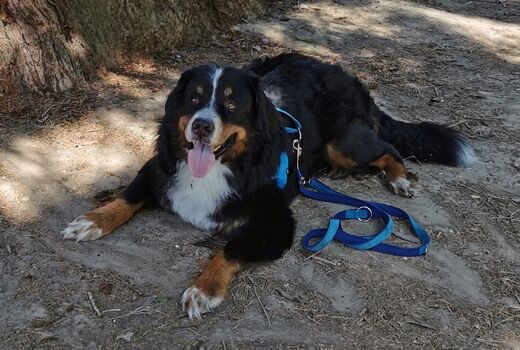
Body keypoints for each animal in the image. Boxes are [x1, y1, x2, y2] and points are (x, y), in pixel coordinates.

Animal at [62, 52, 476, 320]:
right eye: (195, 98)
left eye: (231, 105)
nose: (201, 125)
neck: (220, 168)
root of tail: (344, 74)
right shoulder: (160, 169)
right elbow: (128, 196)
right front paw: (93, 220)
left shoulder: (275, 221)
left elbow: (230, 247)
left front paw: (204, 288)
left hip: (343, 142)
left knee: (388, 148)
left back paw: (399, 177)